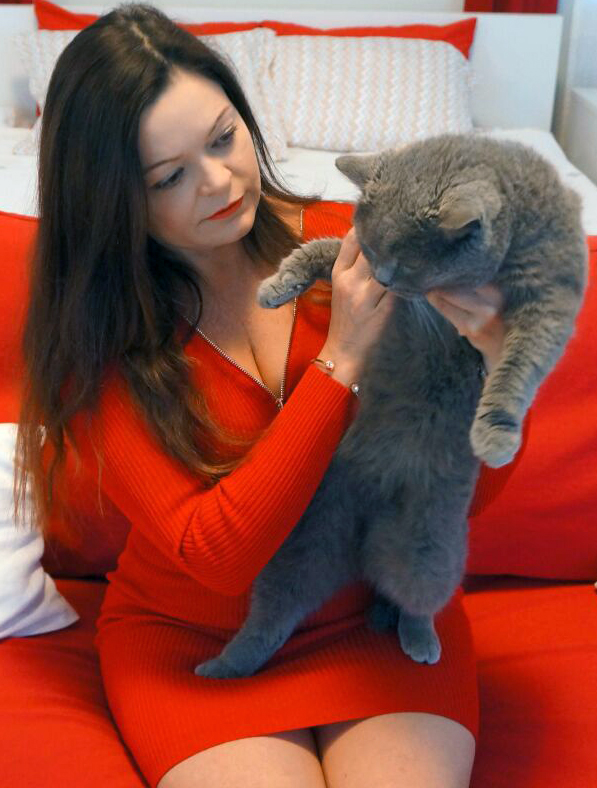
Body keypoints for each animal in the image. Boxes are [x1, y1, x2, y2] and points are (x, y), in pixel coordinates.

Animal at [194, 133, 588, 679]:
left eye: (405, 264)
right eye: (372, 249)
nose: (381, 279)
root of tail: (365, 534)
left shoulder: (549, 299)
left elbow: (521, 359)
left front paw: (496, 434)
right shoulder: (350, 259)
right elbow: (322, 248)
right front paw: (274, 287)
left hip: (428, 551)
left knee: (411, 596)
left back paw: (418, 638)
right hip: (302, 535)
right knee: (277, 608)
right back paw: (220, 669)